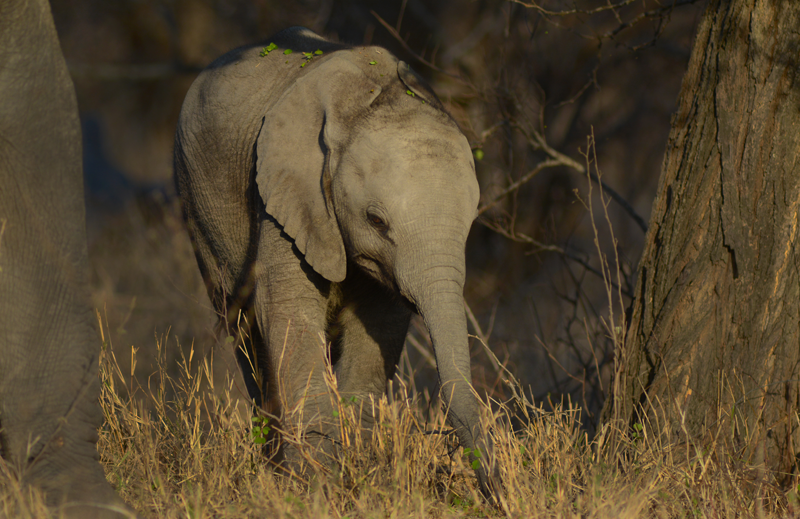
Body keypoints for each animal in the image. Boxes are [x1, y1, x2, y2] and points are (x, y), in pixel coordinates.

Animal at [174, 27, 498, 495]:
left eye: (472, 219)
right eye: (376, 220)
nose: (498, 490)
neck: (363, 101)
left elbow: (379, 328)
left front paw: (357, 476)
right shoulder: (282, 196)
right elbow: (287, 312)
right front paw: (315, 487)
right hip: (198, 203)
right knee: (244, 331)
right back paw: (272, 467)